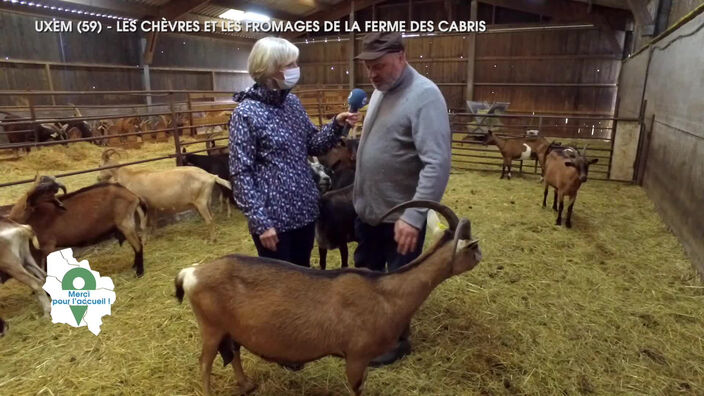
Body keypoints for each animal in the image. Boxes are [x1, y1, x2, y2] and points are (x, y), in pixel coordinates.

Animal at [7, 176, 147, 276]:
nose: (27, 203)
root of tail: (133, 195)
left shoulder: (47, 246)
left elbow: (46, 267)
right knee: (137, 242)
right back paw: (134, 266)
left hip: (125, 222)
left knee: (138, 244)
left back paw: (139, 272)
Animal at [176, 201, 484, 396]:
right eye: (473, 247)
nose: (481, 256)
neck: (385, 292)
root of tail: (191, 272)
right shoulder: (356, 356)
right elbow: (357, 388)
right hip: (211, 327)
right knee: (204, 363)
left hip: (230, 329)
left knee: (234, 353)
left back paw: (247, 386)